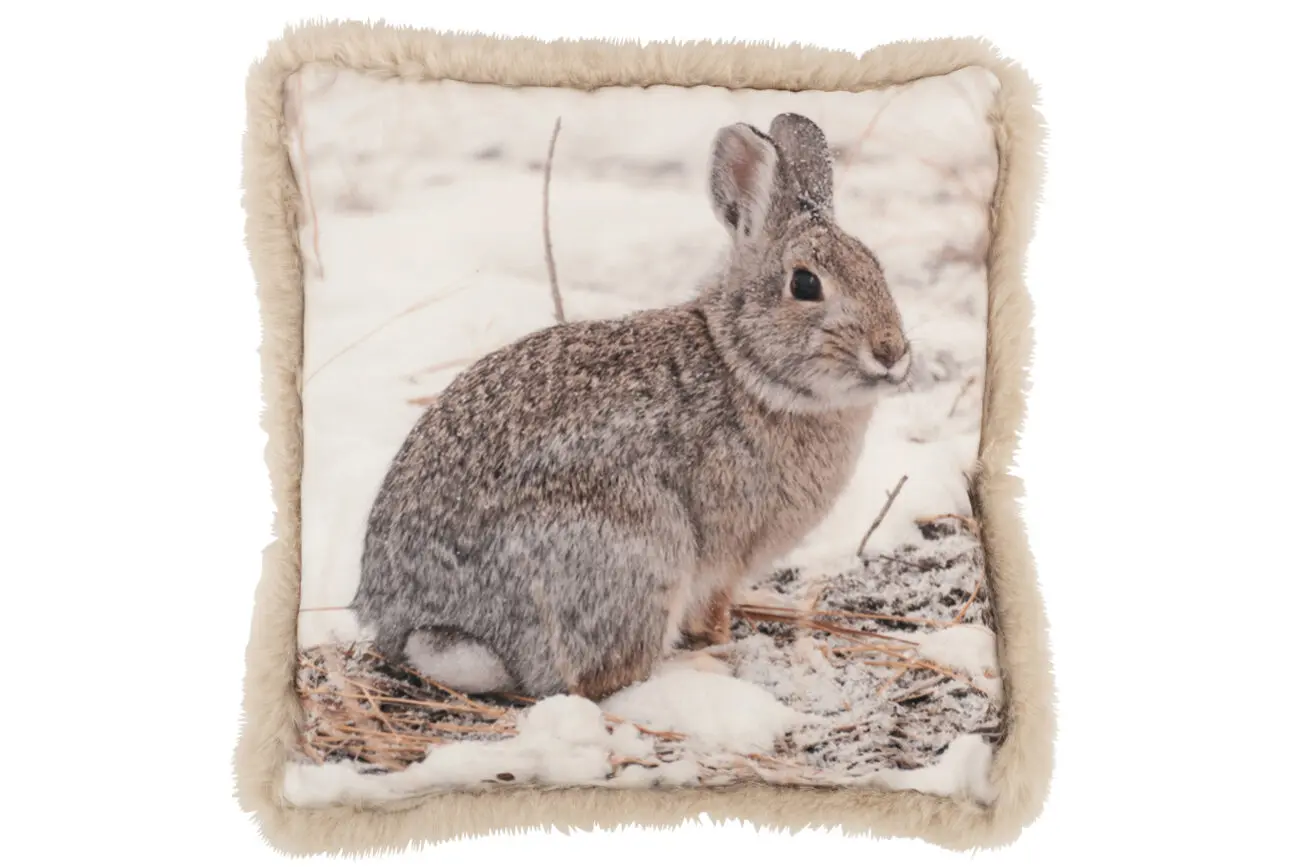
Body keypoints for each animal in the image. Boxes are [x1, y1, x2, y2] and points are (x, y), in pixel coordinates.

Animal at [350, 112, 911, 701]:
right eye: (805, 283)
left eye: (876, 267)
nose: (892, 351)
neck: (744, 365)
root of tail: (427, 624)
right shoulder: (723, 556)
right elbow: (713, 611)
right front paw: (722, 642)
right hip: (638, 552)